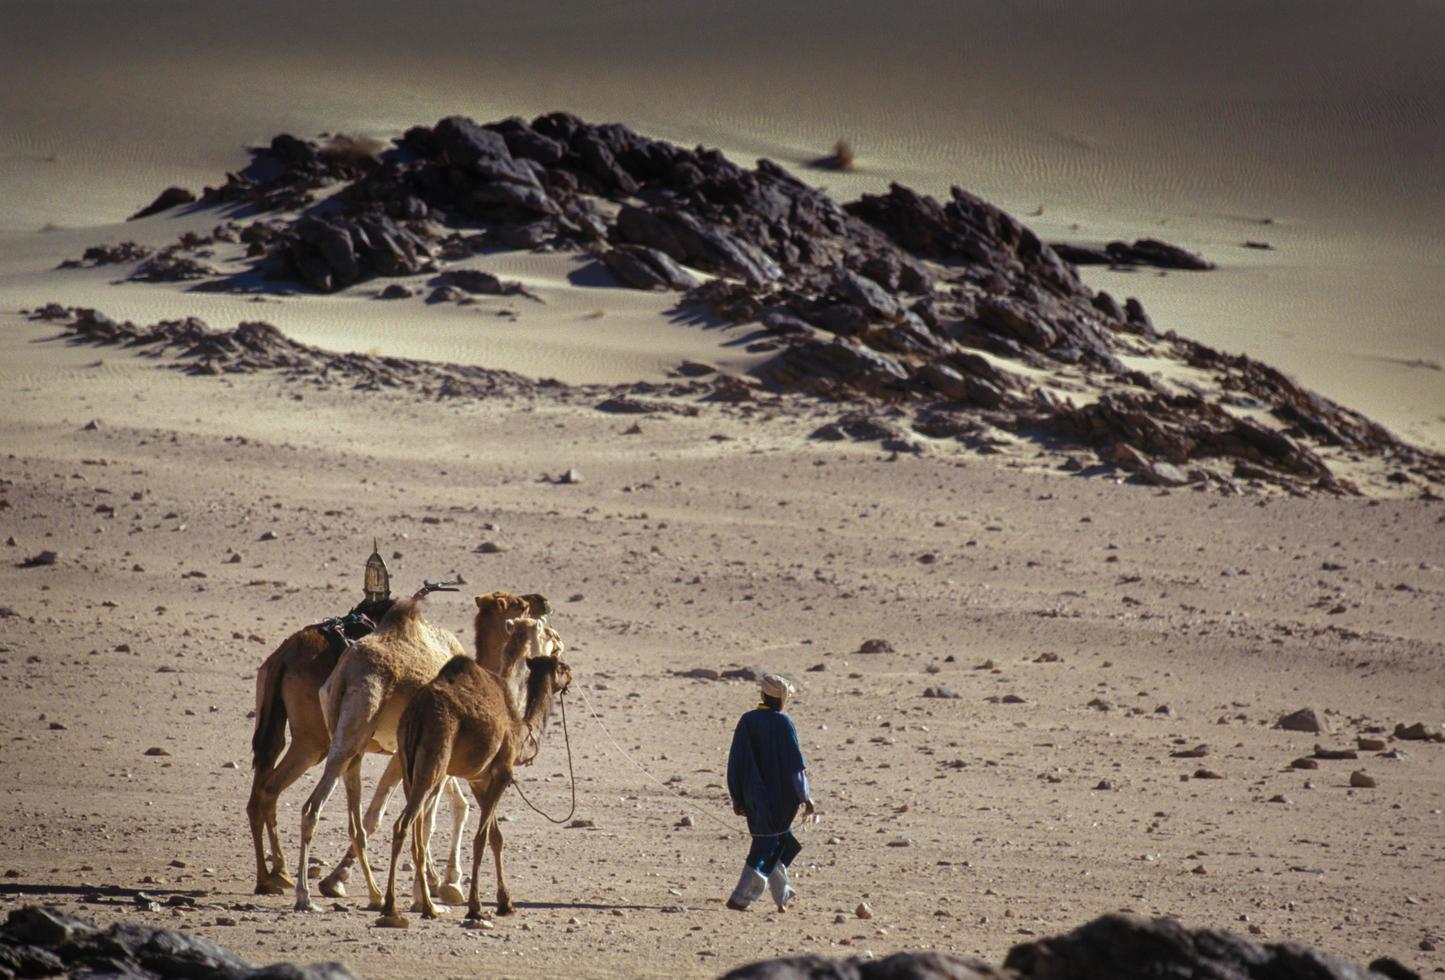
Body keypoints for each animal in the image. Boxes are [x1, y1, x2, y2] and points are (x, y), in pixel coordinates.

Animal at [245, 586, 543, 901]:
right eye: (520, 604)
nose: (544, 604)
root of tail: (283, 657)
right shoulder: (416, 755)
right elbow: (415, 815)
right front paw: (434, 884)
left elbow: (443, 808)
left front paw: (440, 880)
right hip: (319, 739)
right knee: (288, 794)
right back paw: (293, 882)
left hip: (289, 726)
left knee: (265, 788)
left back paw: (274, 876)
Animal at [378, 621, 569, 930]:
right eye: (561, 665)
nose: (571, 673)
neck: (520, 729)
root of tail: (416, 713)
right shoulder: (503, 772)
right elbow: (480, 838)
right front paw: (476, 908)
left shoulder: (479, 779)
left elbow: (496, 836)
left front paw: (506, 903)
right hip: (434, 762)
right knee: (403, 825)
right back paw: (393, 907)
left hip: (408, 765)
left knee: (416, 832)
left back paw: (427, 906)